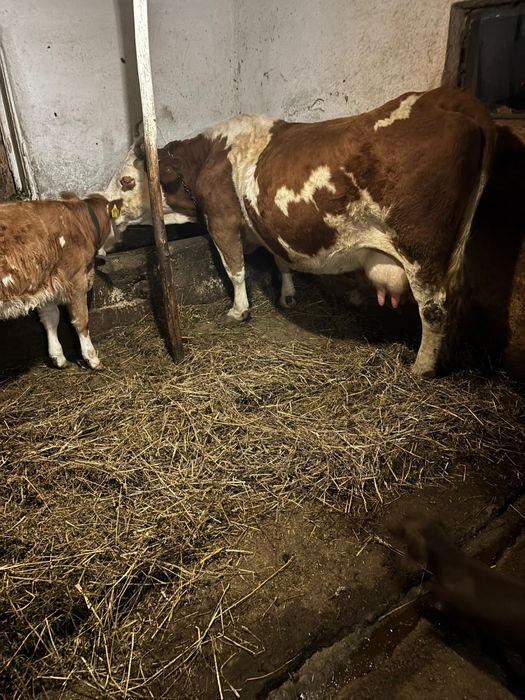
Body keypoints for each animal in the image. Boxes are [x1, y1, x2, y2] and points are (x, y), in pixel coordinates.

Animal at [0, 192, 123, 369]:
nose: (119, 239)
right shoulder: (77, 278)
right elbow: (81, 320)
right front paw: (92, 359)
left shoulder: (45, 281)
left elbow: (50, 318)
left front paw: (58, 357)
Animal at [106, 87, 496, 377]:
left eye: (126, 181)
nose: (104, 207)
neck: (207, 158)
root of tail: (444, 97)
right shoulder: (264, 223)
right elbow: (280, 260)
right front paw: (288, 294)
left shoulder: (221, 220)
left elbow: (235, 270)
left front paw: (239, 310)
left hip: (421, 248)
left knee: (434, 308)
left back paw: (422, 368)